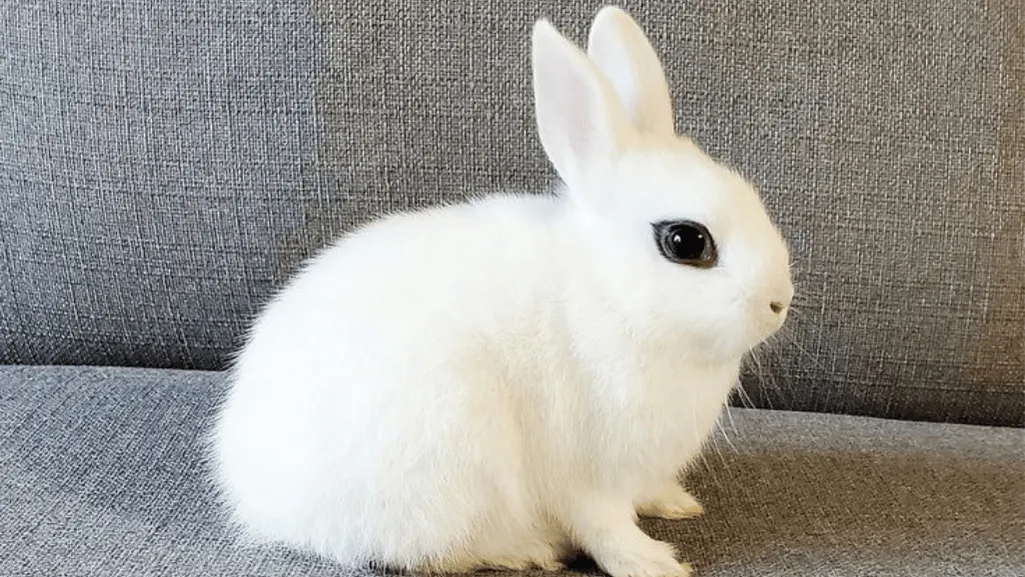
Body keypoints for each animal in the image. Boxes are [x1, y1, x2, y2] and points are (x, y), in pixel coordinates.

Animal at [208, 5, 793, 577]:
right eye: (685, 241)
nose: (779, 303)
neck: (607, 293)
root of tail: (257, 497)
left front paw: (676, 503)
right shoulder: (586, 476)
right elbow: (604, 528)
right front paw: (654, 562)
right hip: (450, 459)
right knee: (436, 553)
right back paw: (528, 549)